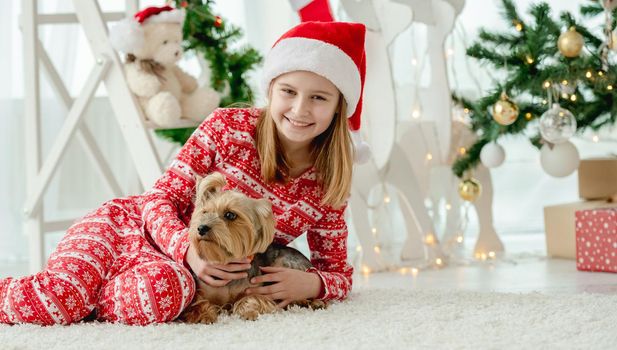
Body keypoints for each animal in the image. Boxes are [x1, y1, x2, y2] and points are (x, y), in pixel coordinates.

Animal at [178, 172, 324, 322]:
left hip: (284, 263)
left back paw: (311, 302)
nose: (201, 228)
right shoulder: (201, 290)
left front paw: (249, 312)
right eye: (204, 212)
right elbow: (198, 303)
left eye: (230, 215)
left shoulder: (258, 289)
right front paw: (204, 316)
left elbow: (251, 298)